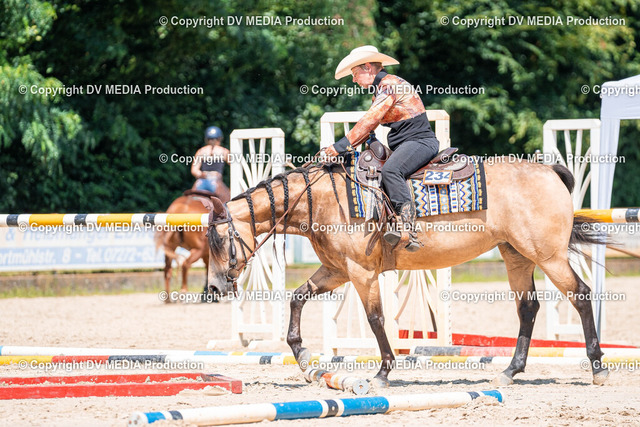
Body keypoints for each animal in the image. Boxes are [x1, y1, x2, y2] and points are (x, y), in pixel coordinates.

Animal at [204, 158, 609, 387]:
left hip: (549, 256)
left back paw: (597, 368)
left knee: (581, 295)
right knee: (527, 309)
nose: (211, 290)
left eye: (220, 239)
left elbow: (376, 319)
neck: (322, 200)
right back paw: (511, 370)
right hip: (518, 257)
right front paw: (302, 355)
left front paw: (383, 372)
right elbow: (297, 298)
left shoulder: (361, 273)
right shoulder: (336, 270)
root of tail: (549, 170)